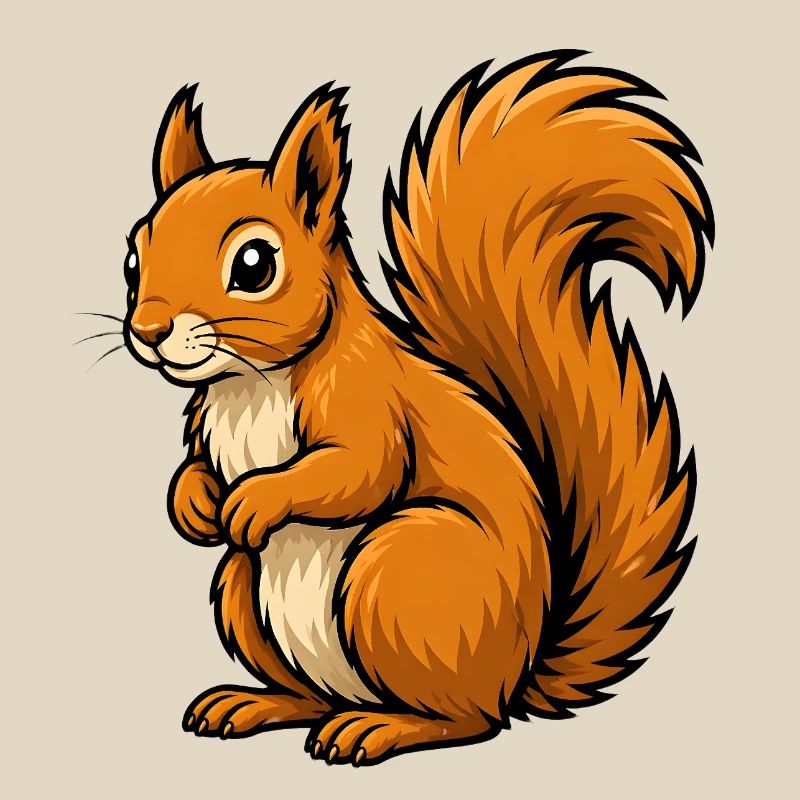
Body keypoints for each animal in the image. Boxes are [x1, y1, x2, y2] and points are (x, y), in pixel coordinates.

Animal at [120, 51, 712, 766]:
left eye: (255, 264)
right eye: (133, 257)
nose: (148, 331)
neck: (249, 384)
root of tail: (518, 674)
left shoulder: (367, 396)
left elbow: (359, 471)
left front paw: (255, 499)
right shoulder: (208, 424)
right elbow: (194, 471)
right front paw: (196, 504)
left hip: (399, 572)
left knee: (468, 721)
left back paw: (379, 728)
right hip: (243, 589)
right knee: (313, 693)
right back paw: (256, 703)